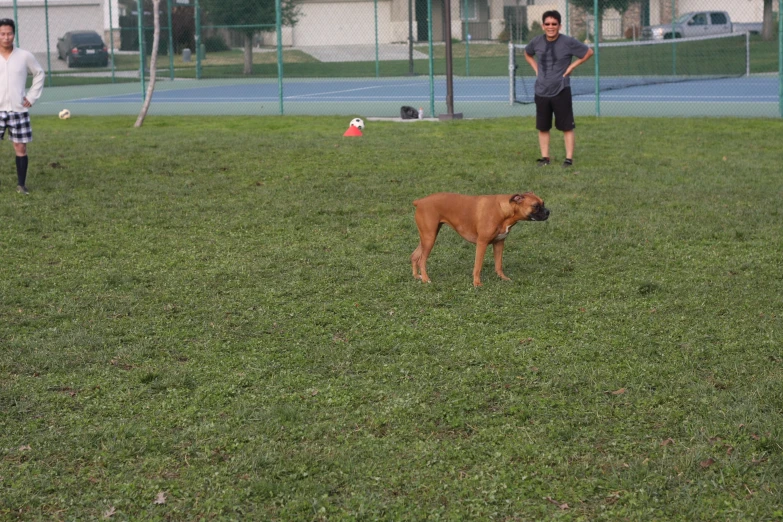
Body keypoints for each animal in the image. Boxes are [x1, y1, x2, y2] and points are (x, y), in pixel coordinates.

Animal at [414, 192, 548, 284]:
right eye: (536, 206)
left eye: (543, 203)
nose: (548, 212)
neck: (503, 210)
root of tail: (419, 201)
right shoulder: (482, 243)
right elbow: (477, 266)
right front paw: (477, 283)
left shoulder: (499, 243)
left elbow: (498, 264)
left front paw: (502, 278)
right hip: (429, 238)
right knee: (421, 260)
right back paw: (425, 279)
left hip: (427, 238)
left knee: (414, 256)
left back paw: (416, 276)